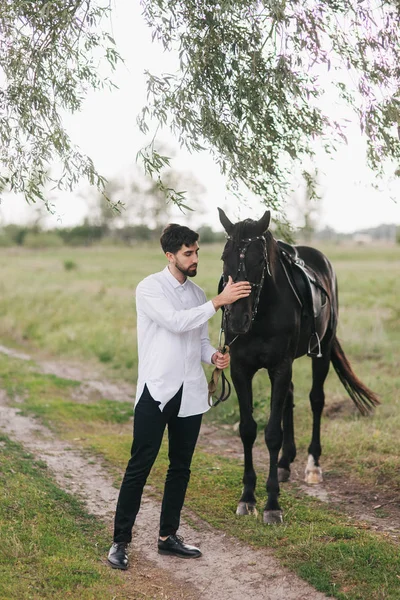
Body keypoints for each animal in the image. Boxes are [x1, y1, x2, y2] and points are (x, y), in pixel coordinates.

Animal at [217, 207, 380, 524]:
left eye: (259, 260)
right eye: (223, 257)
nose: (237, 320)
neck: (261, 312)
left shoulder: (280, 366)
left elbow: (272, 434)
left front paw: (272, 504)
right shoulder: (240, 370)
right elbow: (247, 429)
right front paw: (247, 497)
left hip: (322, 351)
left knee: (316, 399)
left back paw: (312, 465)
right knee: (290, 398)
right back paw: (284, 463)